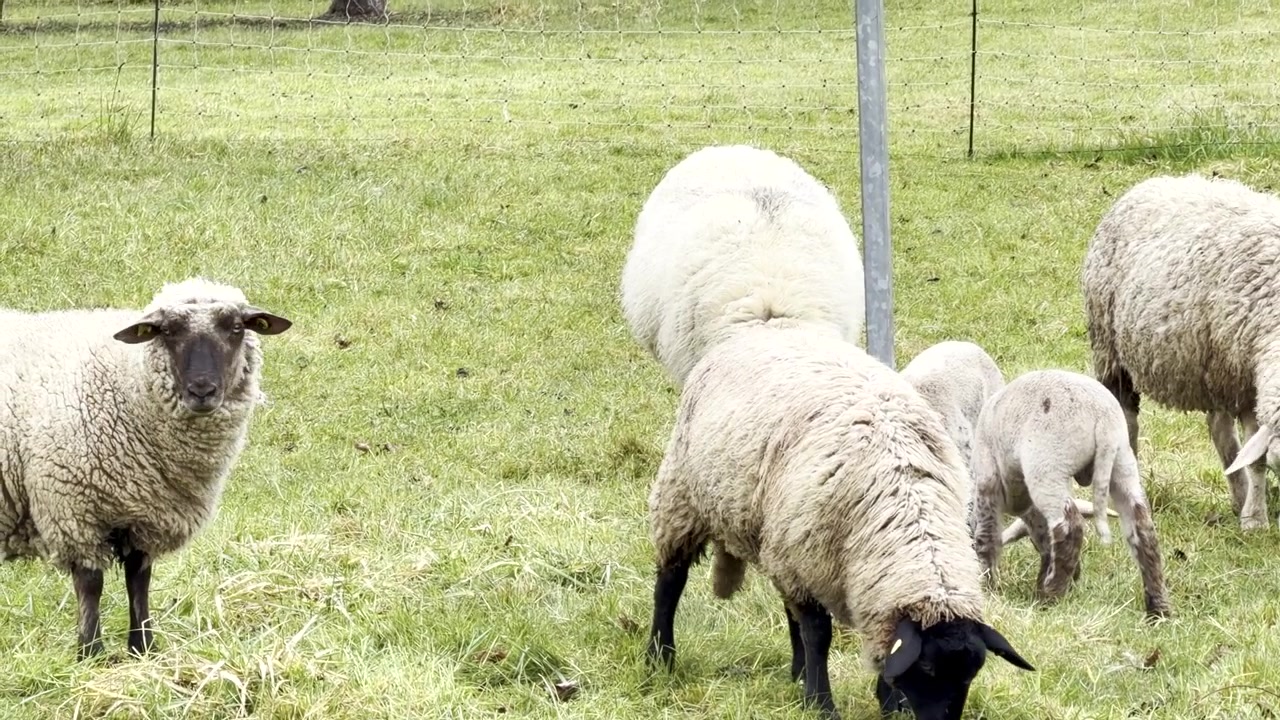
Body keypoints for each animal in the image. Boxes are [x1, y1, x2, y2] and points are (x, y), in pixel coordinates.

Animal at [0, 277, 292, 658]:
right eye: (166, 331)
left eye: (237, 328)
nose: (202, 390)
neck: (127, 381)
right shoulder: (74, 510)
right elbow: (90, 585)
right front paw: (90, 652)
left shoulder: (147, 514)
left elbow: (139, 581)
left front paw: (143, 647)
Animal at [647, 325, 1034, 720]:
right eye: (927, 667)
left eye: (973, 672)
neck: (907, 508)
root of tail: (765, 330)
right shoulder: (809, 559)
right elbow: (819, 635)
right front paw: (821, 703)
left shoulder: (854, 579)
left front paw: (886, 702)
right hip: (683, 499)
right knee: (670, 582)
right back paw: (659, 658)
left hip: (780, 537)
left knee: (788, 609)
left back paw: (797, 673)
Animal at [967, 369, 1170, 618]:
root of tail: (1102, 417)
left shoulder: (987, 479)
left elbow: (986, 536)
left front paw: (986, 586)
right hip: (1122, 461)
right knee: (1143, 527)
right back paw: (1158, 608)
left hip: (1047, 464)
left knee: (1069, 527)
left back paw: (1050, 596)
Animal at [1082, 172, 1280, 531]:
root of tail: (1152, 181)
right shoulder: (1246, 380)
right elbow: (1257, 460)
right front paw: (1255, 521)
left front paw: (1249, 510)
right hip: (1110, 350)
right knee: (1126, 422)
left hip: (1211, 366)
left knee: (1220, 432)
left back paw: (1237, 495)